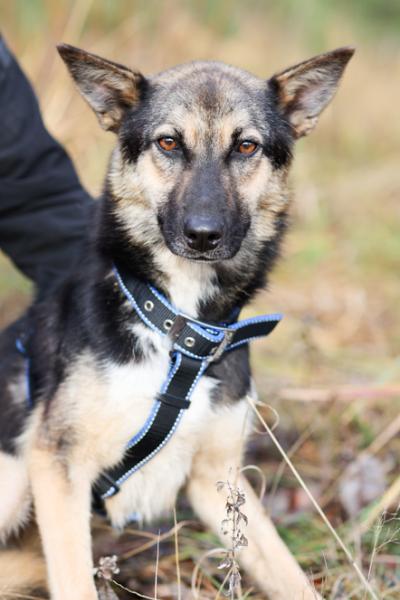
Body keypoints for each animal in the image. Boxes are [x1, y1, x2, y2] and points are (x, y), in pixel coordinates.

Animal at [0, 44, 354, 599]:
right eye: (168, 142)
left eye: (246, 146)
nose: (202, 235)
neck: (178, 330)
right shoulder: (56, 466)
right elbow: (75, 579)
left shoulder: (217, 478)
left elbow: (290, 576)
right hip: (13, 477)